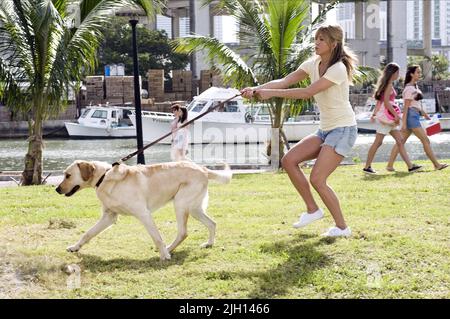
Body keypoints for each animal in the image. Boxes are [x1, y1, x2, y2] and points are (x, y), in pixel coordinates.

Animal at [55, 161, 232, 262]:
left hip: (181, 204)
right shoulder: (109, 217)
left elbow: (157, 238)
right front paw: (75, 247)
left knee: (183, 232)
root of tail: (203, 169)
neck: (104, 178)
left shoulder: (143, 214)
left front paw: (164, 256)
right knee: (212, 223)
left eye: (68, 175)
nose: (57, 189)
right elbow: (88, 233)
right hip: (194, 209)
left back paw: (168, 250)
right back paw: (208, 243)